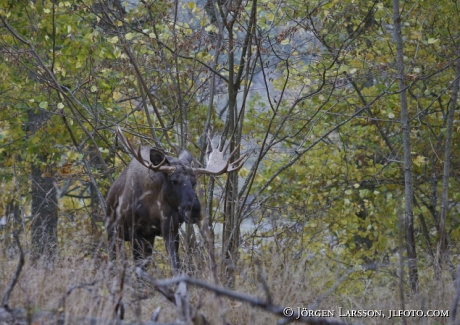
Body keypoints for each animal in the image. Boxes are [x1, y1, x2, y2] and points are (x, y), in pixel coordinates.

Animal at [106, 128, 246, 272]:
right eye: (173, 181)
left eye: (194, 182)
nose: (194, 210)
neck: (153, 209)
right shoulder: (135, 231)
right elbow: (138, 267)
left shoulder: (170, 230)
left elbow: (175, 265)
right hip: (113, 231)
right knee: (112, 259)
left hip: (147, 238)